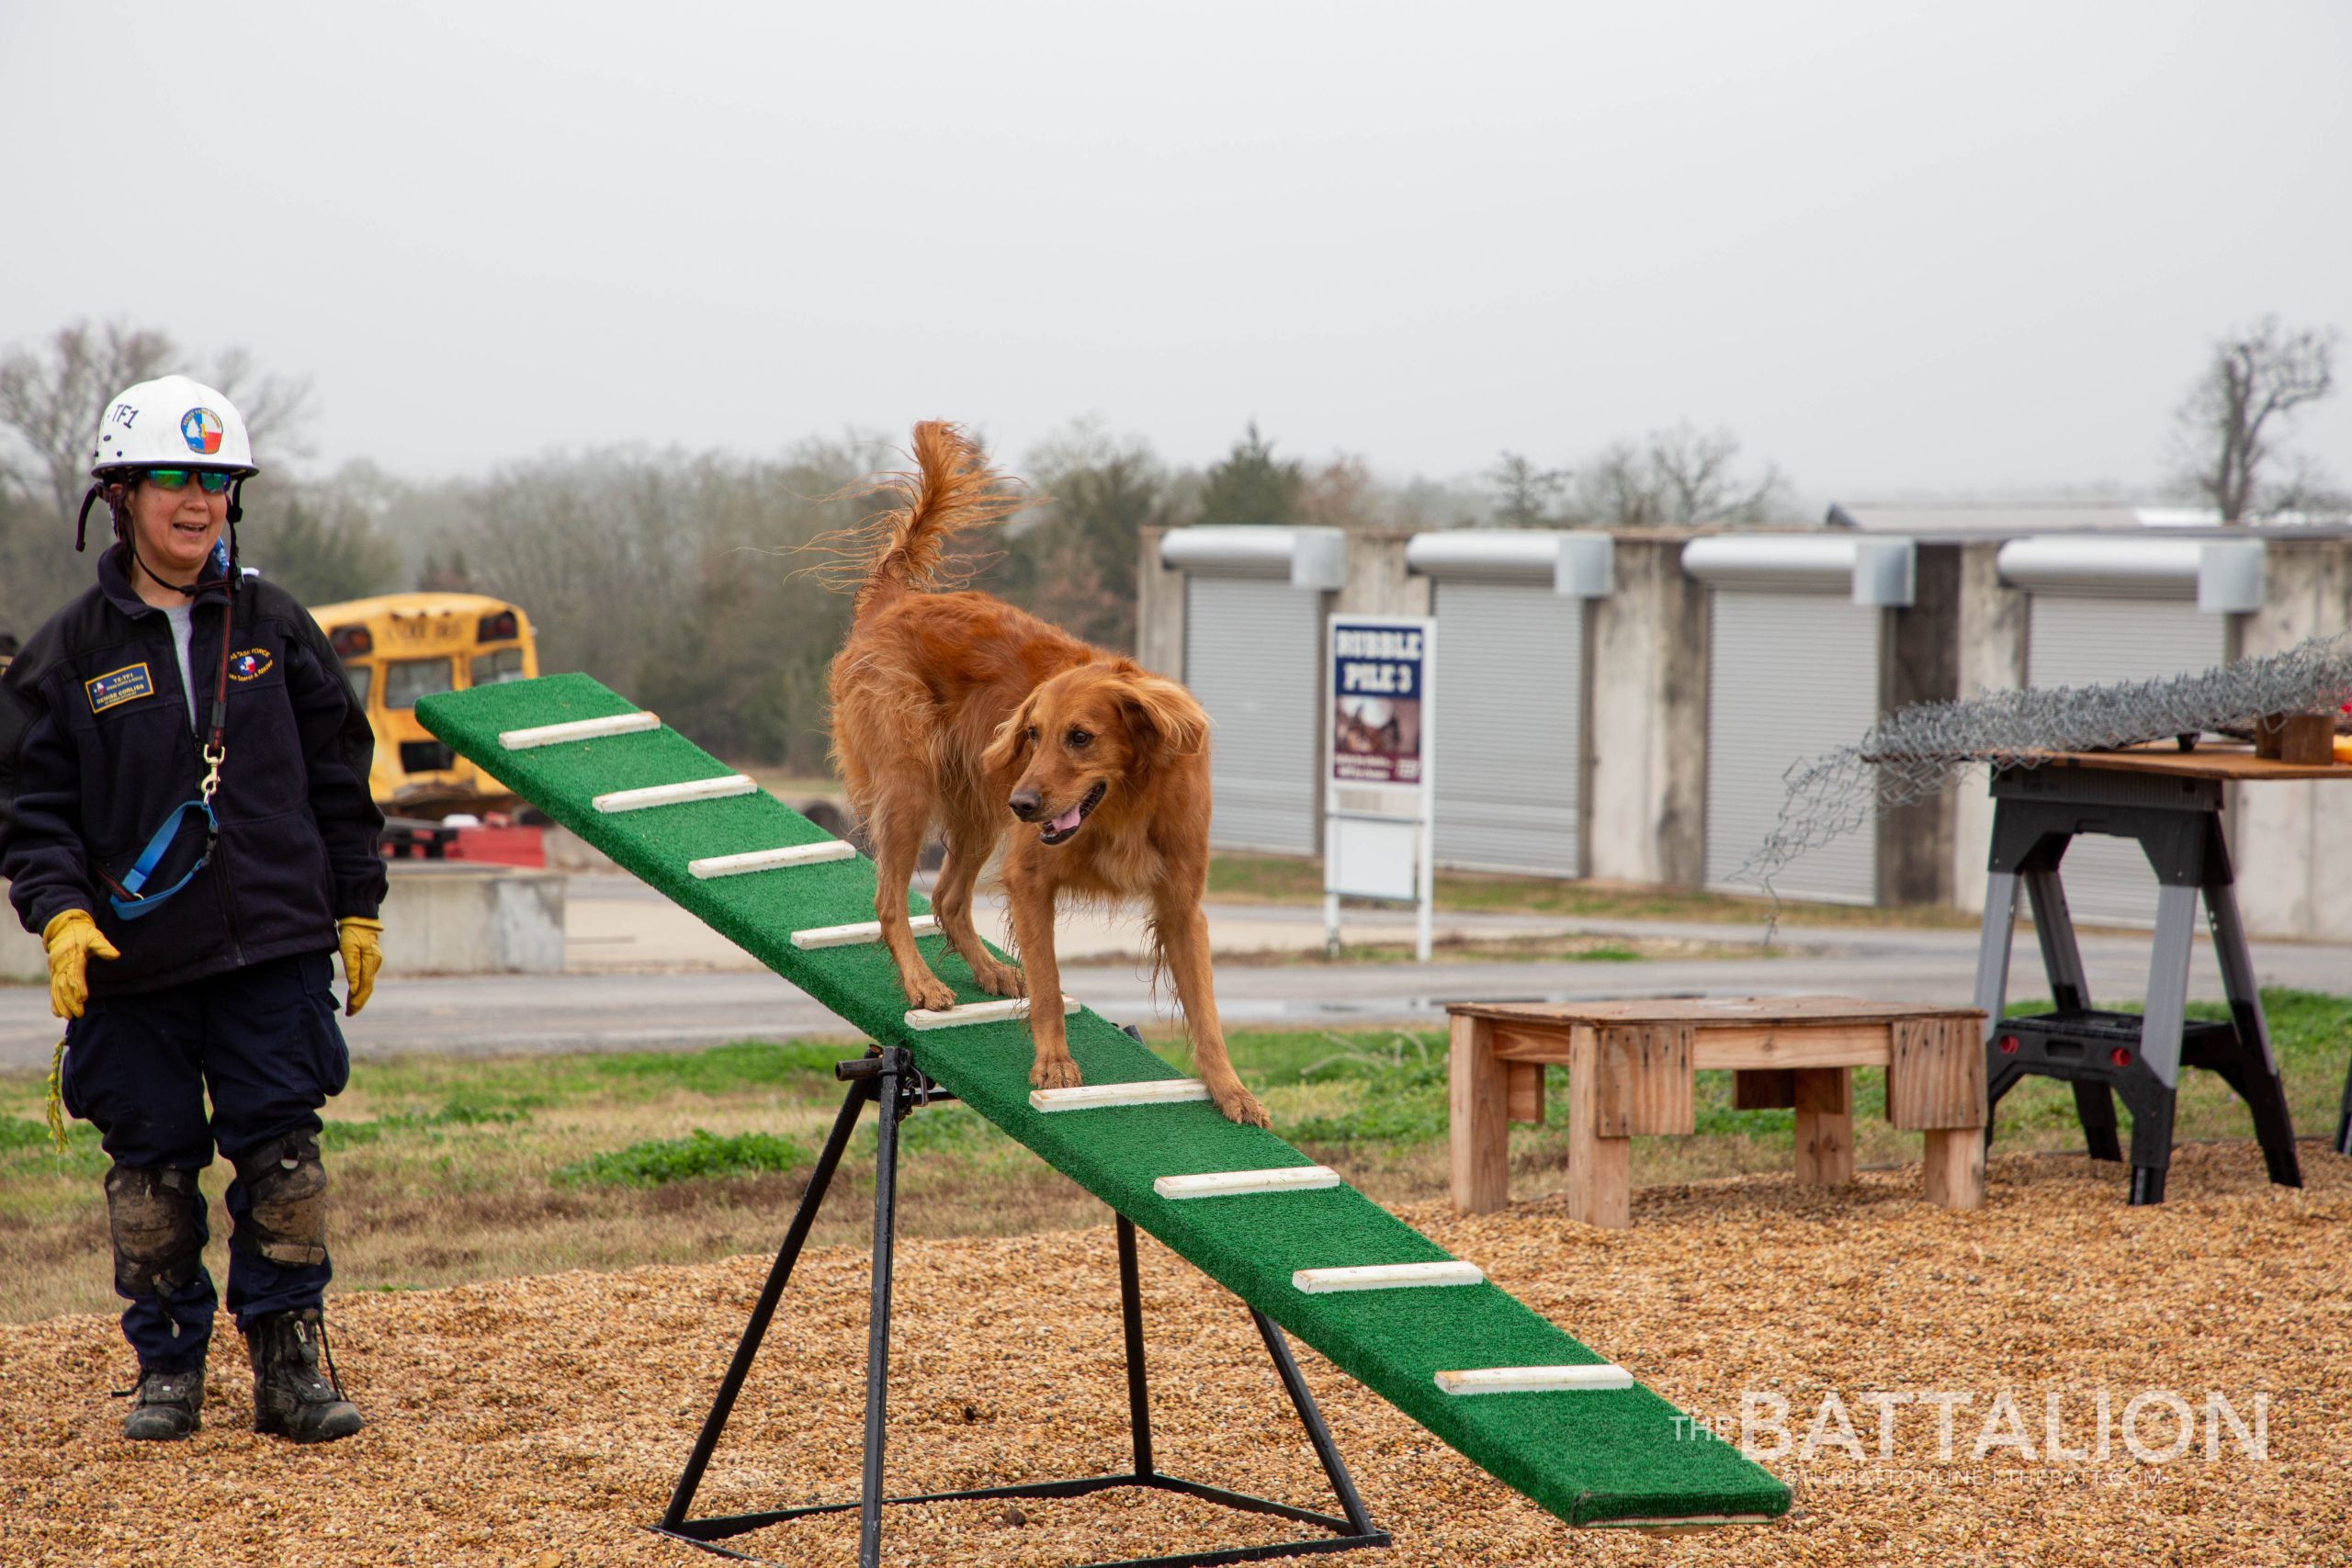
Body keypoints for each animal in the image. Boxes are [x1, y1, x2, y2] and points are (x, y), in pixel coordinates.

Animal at [828, 423, 1270, 1123]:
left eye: (1080, 737)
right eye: (1031, 733)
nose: (1028, 804)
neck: (1125, 805)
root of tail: (894, 600)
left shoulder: (1181, 903)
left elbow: (1206, 1009)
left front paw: (1230, 1089)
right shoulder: (1031, 875)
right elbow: (1049, 979)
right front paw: (1055, 1065)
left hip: (981, 807)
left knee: (947, 896)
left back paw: (989, 970)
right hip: (918, 789)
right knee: (890, 897)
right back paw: (923, 982)